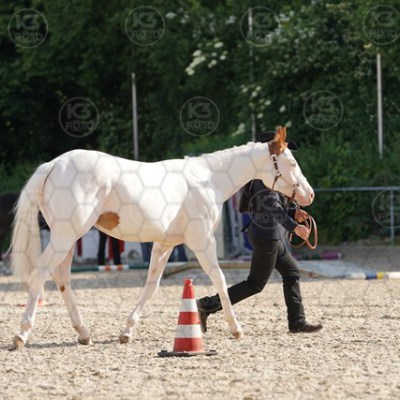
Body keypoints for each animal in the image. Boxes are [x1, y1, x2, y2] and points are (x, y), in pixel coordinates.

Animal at [11, 127, 314, 349]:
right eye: (291, 162)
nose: (309, 194)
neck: (208, 180)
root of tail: (53, 165)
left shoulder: (165, 244)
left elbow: (151, 286)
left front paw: (127, 331)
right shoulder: (202, 241)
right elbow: (219, 278)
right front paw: (235, 328)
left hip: (68, 238)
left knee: (62, 278)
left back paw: (84, 333)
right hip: (65, 236)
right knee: (40, 275)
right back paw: (22, 335)